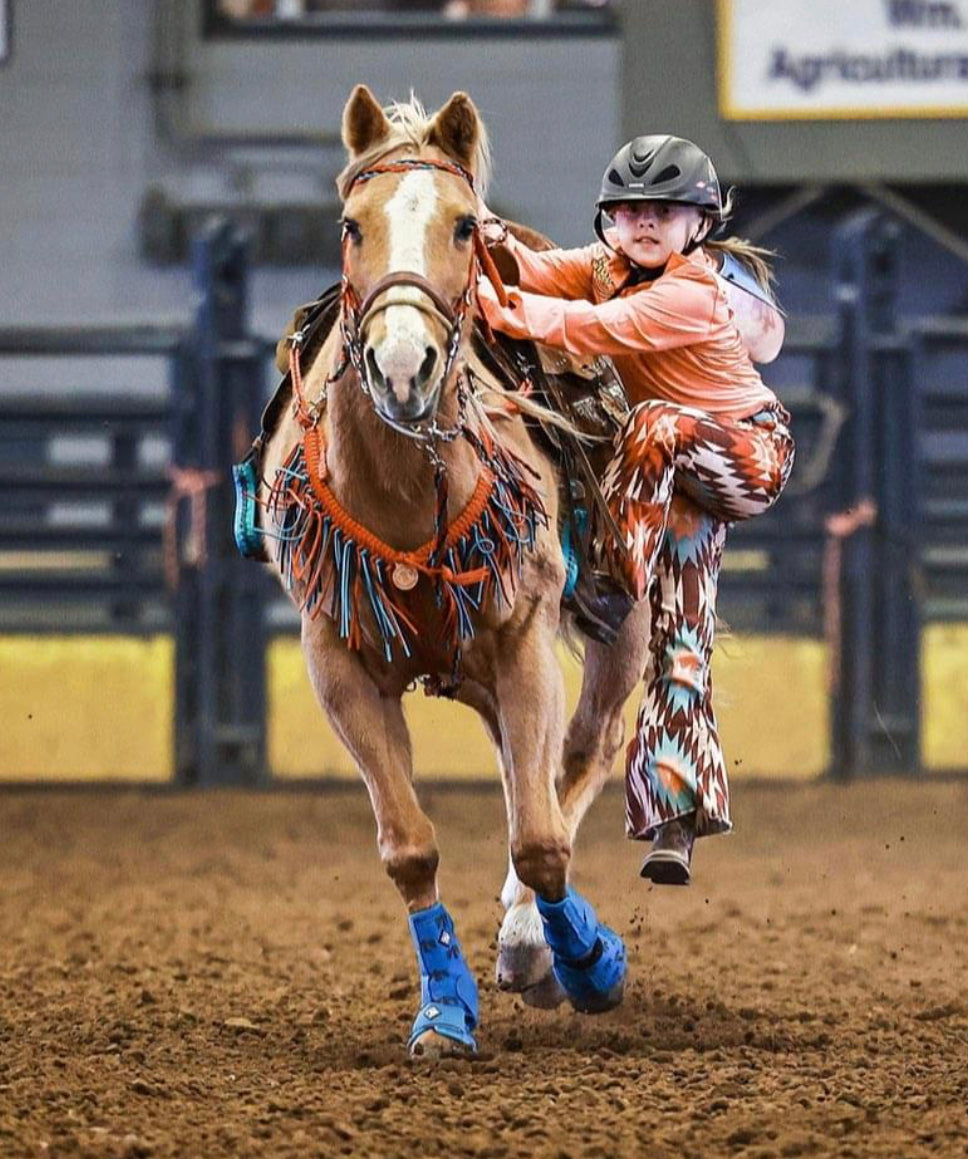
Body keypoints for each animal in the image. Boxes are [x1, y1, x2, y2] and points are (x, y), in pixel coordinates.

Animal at [257, 85, 649, 1057]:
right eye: (350, 225)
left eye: (465, 226)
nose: (402, 366)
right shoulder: (338, 663)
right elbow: (410, 845)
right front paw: (444, 1010)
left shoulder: (522, 639)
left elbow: (541, 837)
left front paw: (584, 962)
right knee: (521, 768)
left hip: (618, 619)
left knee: (579, 758)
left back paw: (532, 945)